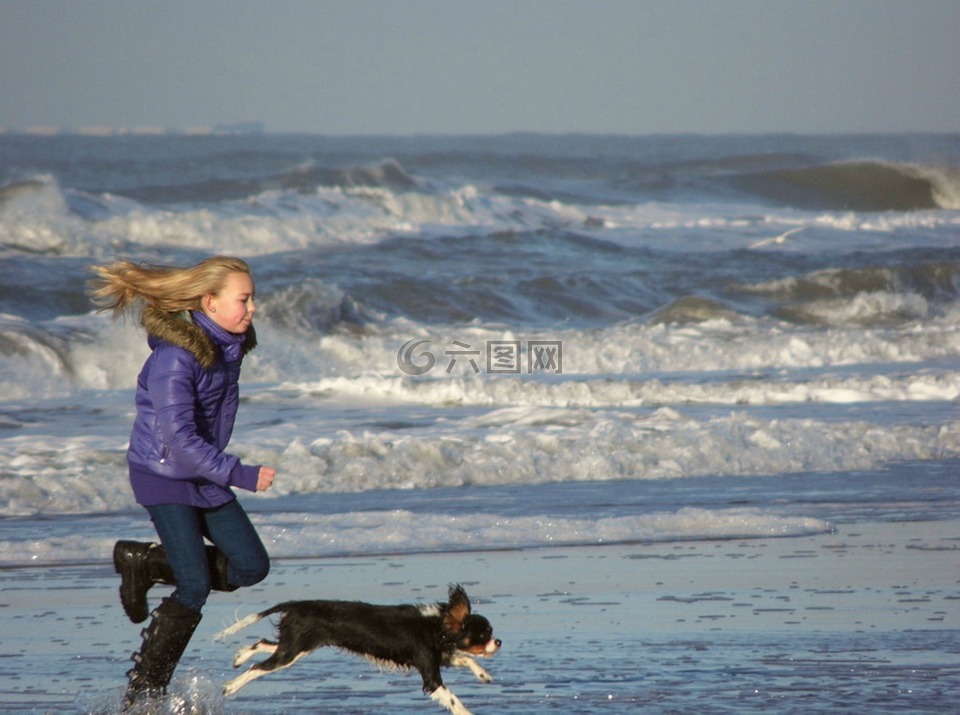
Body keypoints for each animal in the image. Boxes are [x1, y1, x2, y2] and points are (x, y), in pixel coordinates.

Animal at [214, 584, 502, 712]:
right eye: (484, 634)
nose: (499, 642)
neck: (436, 624)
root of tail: (296, 604)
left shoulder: (438, 655)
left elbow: (465, 659)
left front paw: (484, 675)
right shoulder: (429, 671)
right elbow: (452, 697)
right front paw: (466, 711)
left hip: (298, 646)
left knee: (263, 644)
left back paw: (239, 657)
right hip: (293, 651)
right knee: (257, 668)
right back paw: (231, 686)